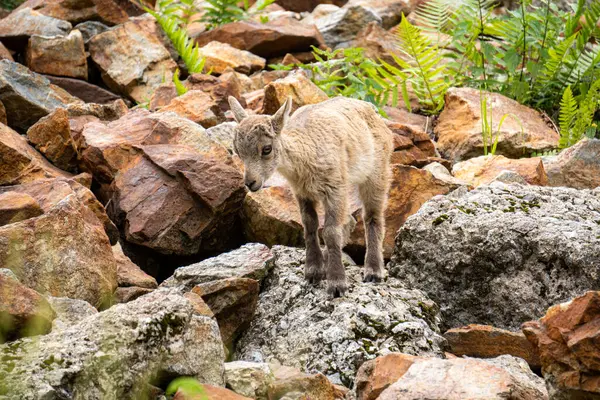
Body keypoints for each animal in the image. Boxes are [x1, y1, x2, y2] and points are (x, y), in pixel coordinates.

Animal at [227, 96, 392, 296]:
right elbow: (310, 226)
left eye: (266, 149)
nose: (251, 183)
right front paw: (314, 271)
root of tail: (374, 113)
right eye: (237, 151)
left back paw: (373, 271)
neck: (307, 157)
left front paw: (337, 284)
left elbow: (330, 231)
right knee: (350, 221)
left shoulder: (335, 188)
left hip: (376, 173)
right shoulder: (302, 193)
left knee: (372, 217)